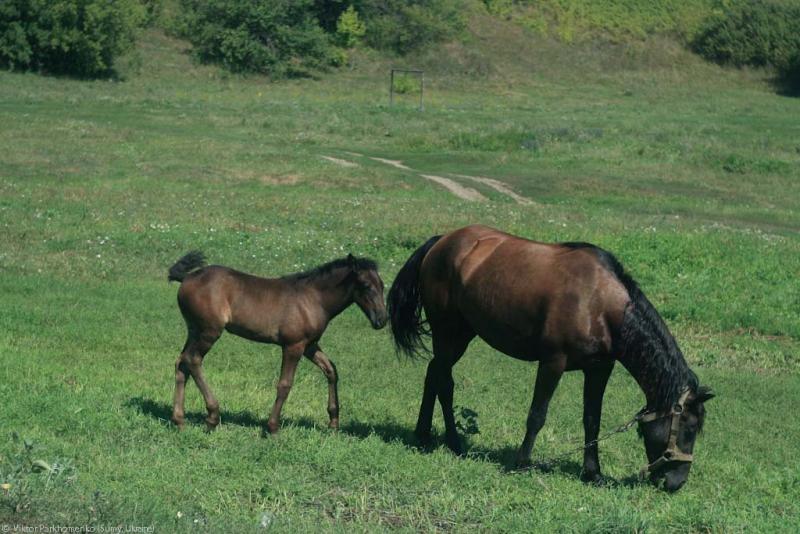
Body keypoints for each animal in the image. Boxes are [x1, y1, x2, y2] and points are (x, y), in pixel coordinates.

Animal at [167, 251, 386, 436]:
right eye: (366, 285)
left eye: (383, 286)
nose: (382, 320)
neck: (313, 299)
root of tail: (187, 278)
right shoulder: (293, 346)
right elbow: (285, 384)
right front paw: (272, 428)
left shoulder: (309, 345)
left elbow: (331, 370)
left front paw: (333, 423)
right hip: (209, 332)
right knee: (193, 360)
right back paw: (212, 417)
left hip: (194, 331)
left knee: (181, 363)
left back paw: (179, 420)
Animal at [388, 224, 712, 492]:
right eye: (689, 428)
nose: (676, 483)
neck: (599, 304)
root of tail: (442, 241)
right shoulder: (552, 363)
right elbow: (537, 415)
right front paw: (522, 463)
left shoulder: (599, 369)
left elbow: (592, 420)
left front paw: (592, 473)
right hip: (447, 332)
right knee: (444, 382)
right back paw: (452, 442)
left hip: (462, 335)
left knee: (433, 374)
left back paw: (423, 435)